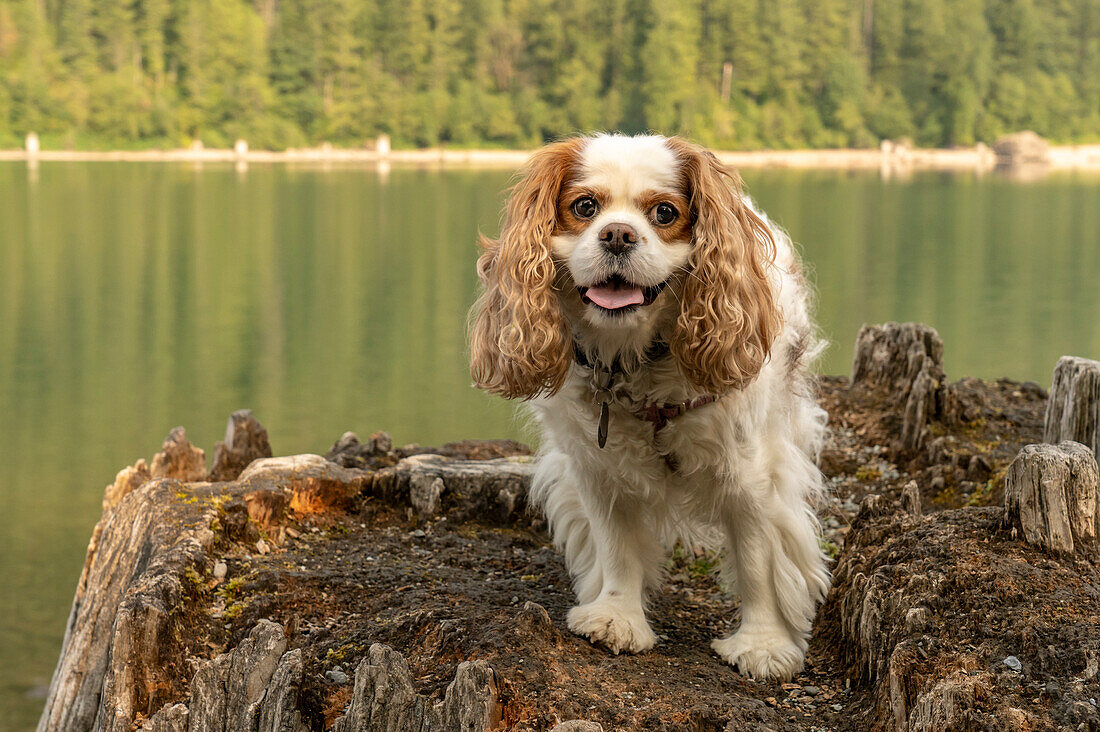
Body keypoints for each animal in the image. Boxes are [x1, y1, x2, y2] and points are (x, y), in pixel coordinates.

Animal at [468, 131, 827, 678]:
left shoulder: (752, 473)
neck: (633, 359)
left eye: (664, 213)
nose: (617, 235)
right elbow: (616, 547)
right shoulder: (597, 467)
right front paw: (616, 617)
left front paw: (762, 645)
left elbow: (758, 557)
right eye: (584, 207)